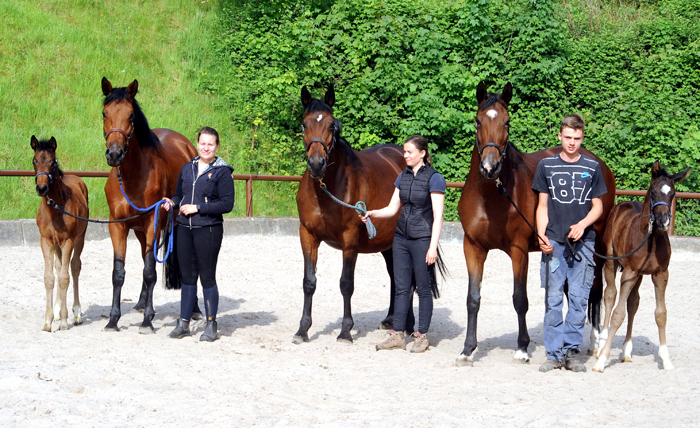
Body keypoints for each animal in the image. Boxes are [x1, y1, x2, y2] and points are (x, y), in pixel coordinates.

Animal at [30, 136, 88, 332]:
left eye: (52, 162)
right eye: (34, 161)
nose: (41, 188)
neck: (54, 209)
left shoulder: (68, 241)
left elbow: (64, 277)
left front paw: (64, 321)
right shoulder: (46, 241)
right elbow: (49, 277)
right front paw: (48, 321)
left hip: (79, 238)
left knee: (75, 266)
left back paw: (76, 314)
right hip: (56, 245)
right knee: (59, 266)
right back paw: (56, 310)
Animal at [100, 77, 197, 332]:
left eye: (131, 116)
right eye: (104, 113)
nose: (114, 154)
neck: (133, 175)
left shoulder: (153, 222)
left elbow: (150, 271)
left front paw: (147, 321)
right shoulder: (118, 225)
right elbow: (119, 273)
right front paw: (113, 320)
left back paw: (194, 309)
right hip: (140, 231)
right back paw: (142, 303)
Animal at [294, 86, 410, 344]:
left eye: (331, 125)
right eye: (305, 124)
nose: (316, 164)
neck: (326, 190)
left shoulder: (350, 241)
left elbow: (346, 284)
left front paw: (346, 331)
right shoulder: (307, 236)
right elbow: (308, 282)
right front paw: (303, 329)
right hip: (388, 243)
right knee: (395, 276)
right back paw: (390, 320)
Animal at [456, 82, 616, 366]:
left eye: (507, 122)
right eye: (477, 121)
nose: (489, 168)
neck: (492, 196)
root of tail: (600, 165)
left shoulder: (518, 250)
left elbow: (520, 299)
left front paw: (522, 348)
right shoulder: (472, 247)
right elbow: (473, 299)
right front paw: (467, 349)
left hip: (595, 247)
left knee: (595, 290)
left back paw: (596, 342)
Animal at [592, 162, 692, 372]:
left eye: (672, 193)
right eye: (653, 192)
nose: (663, 221)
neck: (651, 238)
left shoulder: (661, 274)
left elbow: (661, 313)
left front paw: (666, 359)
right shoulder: (629, 273)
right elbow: (618, 314)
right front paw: (602, 360)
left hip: (639, 275)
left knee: (633, 302)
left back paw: (626, 351)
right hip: (612, 262)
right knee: (610, 295)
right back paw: (601, 344)